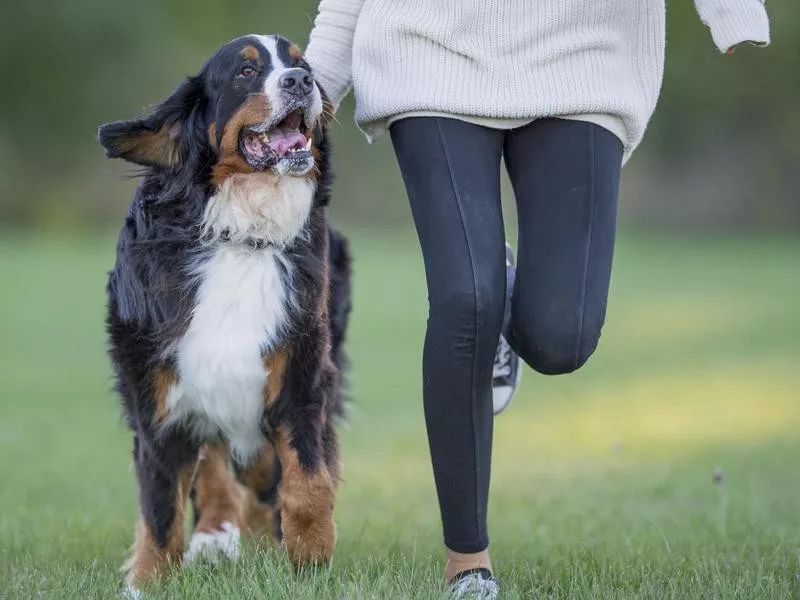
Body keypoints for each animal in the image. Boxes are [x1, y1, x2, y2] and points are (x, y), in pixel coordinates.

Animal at [96, 35, 350, 592]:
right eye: (245, 72)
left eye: (301, 62)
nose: (300, 82)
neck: (241, 236)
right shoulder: (158, 396)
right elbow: (161, 510)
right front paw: (146, 584)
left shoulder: (301, 372)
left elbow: (307, 480)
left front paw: (310, 556)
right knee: (213, 465)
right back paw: (216, 533)